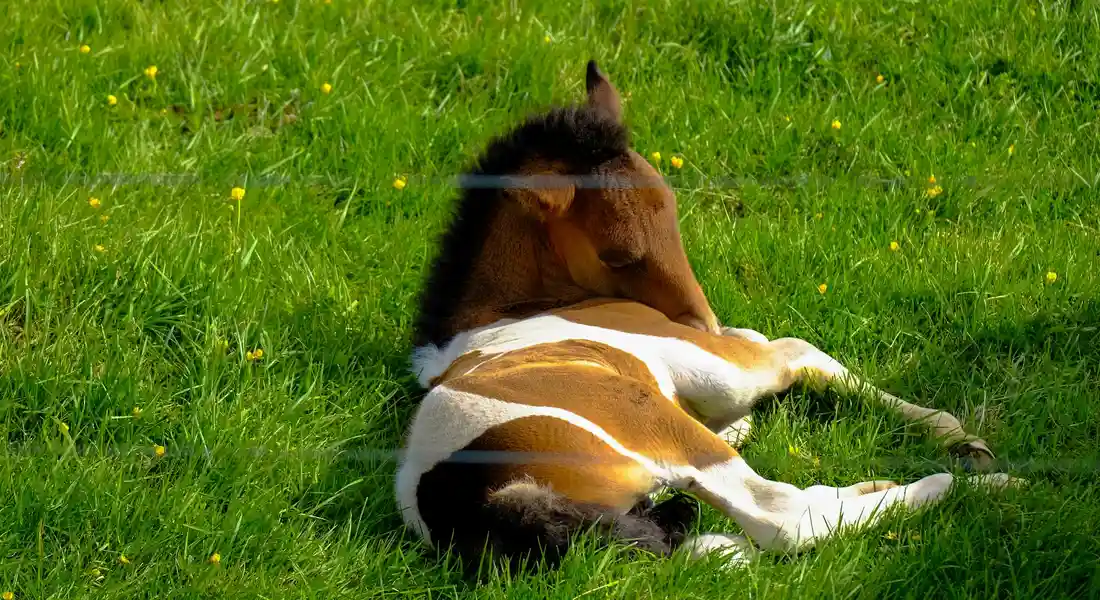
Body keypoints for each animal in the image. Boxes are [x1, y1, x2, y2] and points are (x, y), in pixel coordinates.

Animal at [395, 60, 1018, 571]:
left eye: (669, 202)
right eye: (619, 254)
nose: (702, 321)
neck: (504, 316)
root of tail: (477, 499)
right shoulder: (708, 364)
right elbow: (789, 351)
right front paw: (958, 436)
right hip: (657, 422)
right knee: (781, 514)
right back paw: (970, 486)